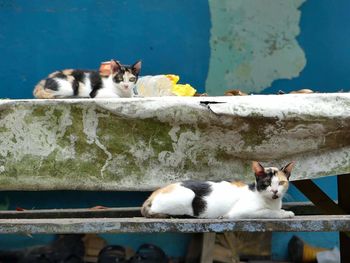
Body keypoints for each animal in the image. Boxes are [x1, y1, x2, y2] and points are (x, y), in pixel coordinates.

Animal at [142, 162, 296, 220]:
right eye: (267, 183)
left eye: (281, 183)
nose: (275, 191)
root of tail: (154, 193)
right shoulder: (240, 212)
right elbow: (267, 212)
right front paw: (284, 213)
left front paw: (283, 211)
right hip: (186, 196)